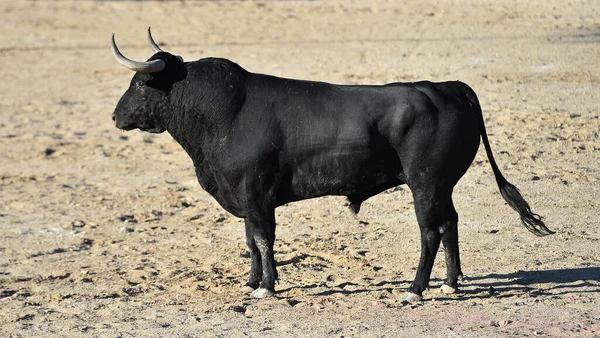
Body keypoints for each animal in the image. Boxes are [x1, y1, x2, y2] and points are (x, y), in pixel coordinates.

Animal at [111, 29, 552, 302]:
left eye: (139, 84)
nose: (116, 117)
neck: (225, 112)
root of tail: (447, 87)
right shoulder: (246, 197)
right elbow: (250, 241)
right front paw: (252, 283)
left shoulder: (257, 194)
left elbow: (263, 239)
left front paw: (267, 287)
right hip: (441, 186)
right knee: (450, 224)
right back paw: (451, 283)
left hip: (425, 184)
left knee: (430, 230)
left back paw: (415, 289)